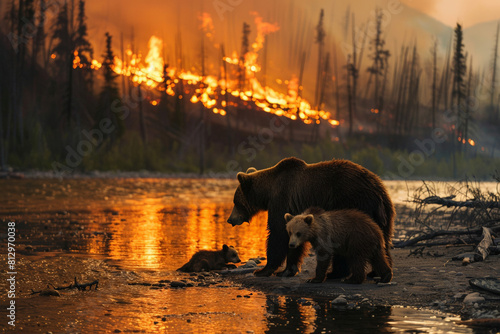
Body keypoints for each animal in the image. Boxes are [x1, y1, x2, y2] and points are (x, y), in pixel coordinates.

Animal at [227, 158, 394, 278]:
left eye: (235, 201)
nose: (230, 219)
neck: (268, 192)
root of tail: (376, 192)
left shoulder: (282, 199)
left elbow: (278, 233)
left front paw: (263, 270)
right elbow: (292, 238)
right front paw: (287, 270)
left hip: (354, 202)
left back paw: (337, 273)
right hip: (384, 209)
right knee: (383, 239)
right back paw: (374, 271)